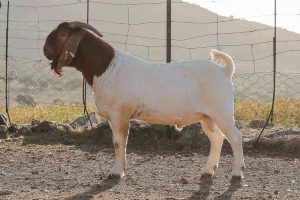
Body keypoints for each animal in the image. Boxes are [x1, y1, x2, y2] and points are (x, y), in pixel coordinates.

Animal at [44, 21, 246, 180]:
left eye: (62, 33)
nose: (45, 49)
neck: (107, 67)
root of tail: (225, 71)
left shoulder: (119, 114)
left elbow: (118, 142)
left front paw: (116, 172)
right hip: (207, 116)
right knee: (217, 138)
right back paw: (208, 171)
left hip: (222, 112)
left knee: (235, 137)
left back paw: (237, 173)